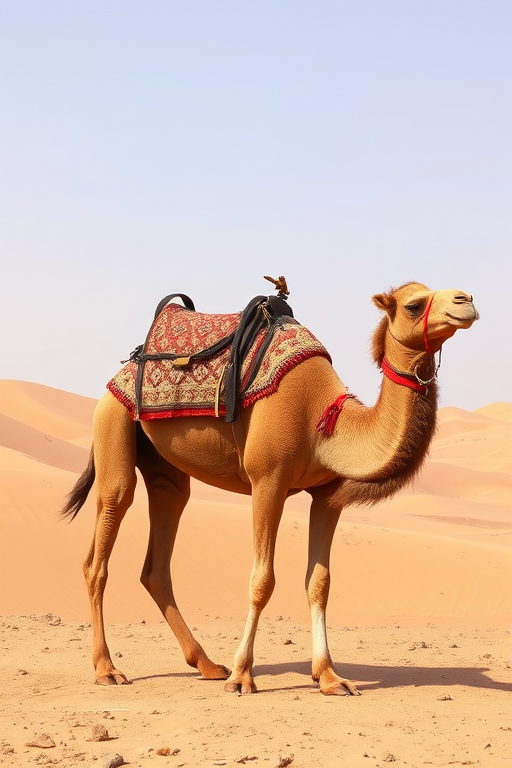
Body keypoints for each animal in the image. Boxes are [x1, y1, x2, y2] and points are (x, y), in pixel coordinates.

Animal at [62, 281, 478, 696]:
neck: (325, 421)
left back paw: (207, 664)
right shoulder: (268, 480)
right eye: (414, 305)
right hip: (113, 424)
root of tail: (120, 373)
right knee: (101, 546)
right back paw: (107, 669)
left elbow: (320, 582)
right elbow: (262, 580)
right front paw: (242, 675)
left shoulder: (328, 496)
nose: (467, 300)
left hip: (166, 471)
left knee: (158, 556)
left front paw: (330, 677)